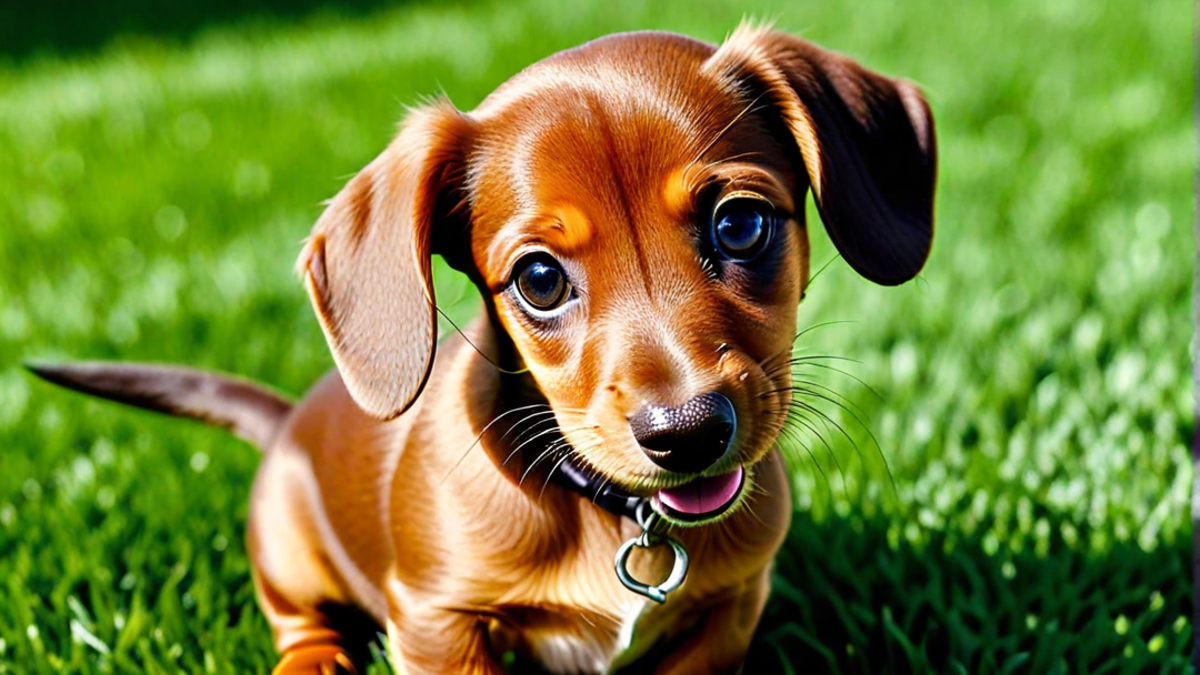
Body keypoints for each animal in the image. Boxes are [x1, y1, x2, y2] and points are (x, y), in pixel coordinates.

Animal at [30, 23, 936, 672]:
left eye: (740, 223)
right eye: (538, 279)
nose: (685, 433)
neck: (613, 511)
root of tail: (289, 420)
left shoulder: (728, 610)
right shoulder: (437, 622)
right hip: (286, 552)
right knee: (298, 620)